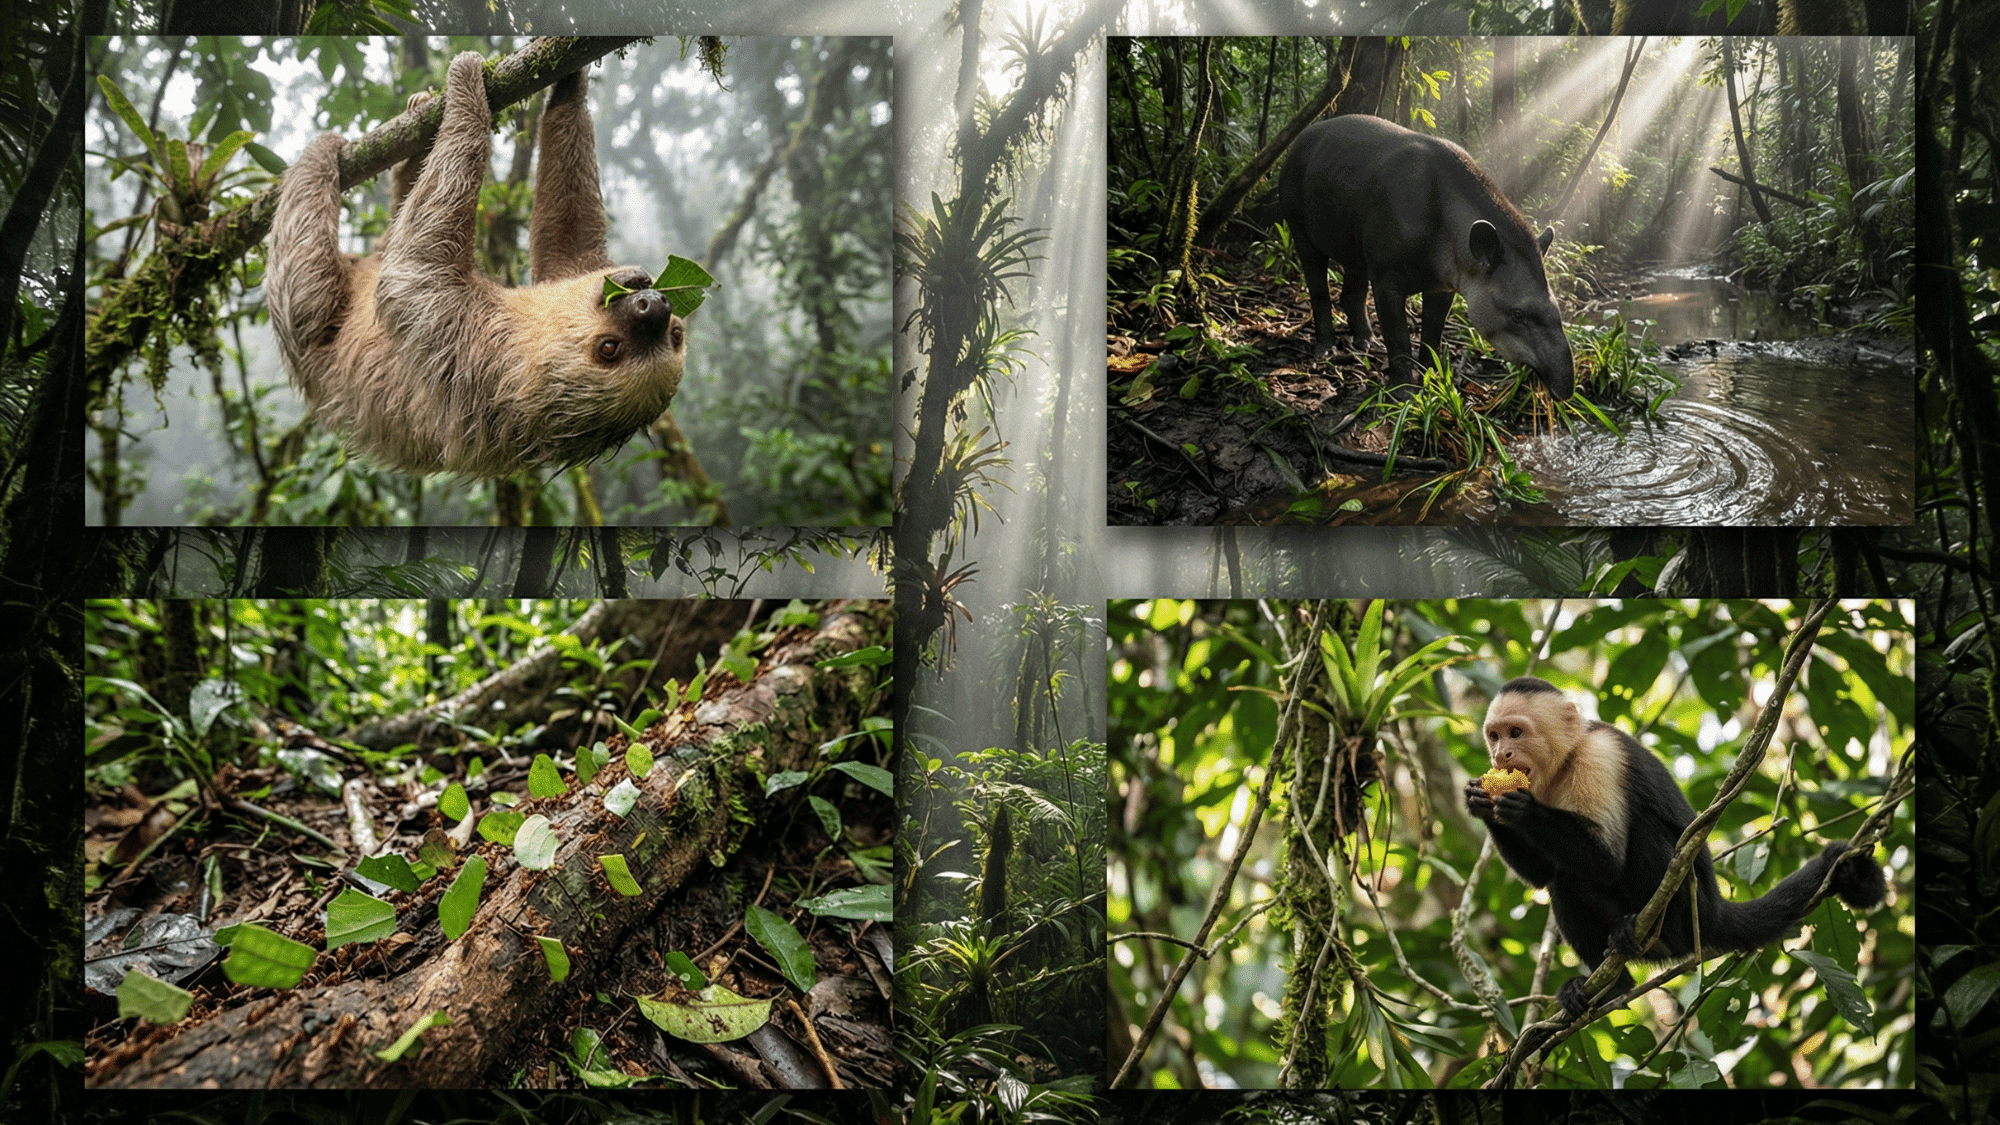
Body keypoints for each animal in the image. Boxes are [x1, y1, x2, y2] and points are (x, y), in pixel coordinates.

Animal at [268, 52, 687, 478]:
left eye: (608, 349)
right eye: (678, 335)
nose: (654, 305)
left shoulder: (468, 345)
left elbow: (413, 269)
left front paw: (467, 82)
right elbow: (567, 239)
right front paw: (568, 77)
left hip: (307, 315)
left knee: (307, 265)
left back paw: (320, 154)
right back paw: (413, 134)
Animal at [1462, 675, 1887, 1017]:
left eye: (1516, 733)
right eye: (1495, 736)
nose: (1501, 755)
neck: (1565, 761)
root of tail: (1714, 913)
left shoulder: (1600, 757)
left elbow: (1607, 860)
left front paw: (1521, 809)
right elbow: (1543, 875)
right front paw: (1480, 803)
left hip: (1691, 910)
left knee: (1647, 834)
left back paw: (1647, 928)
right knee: (1563, 881)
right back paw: (1610, 988)